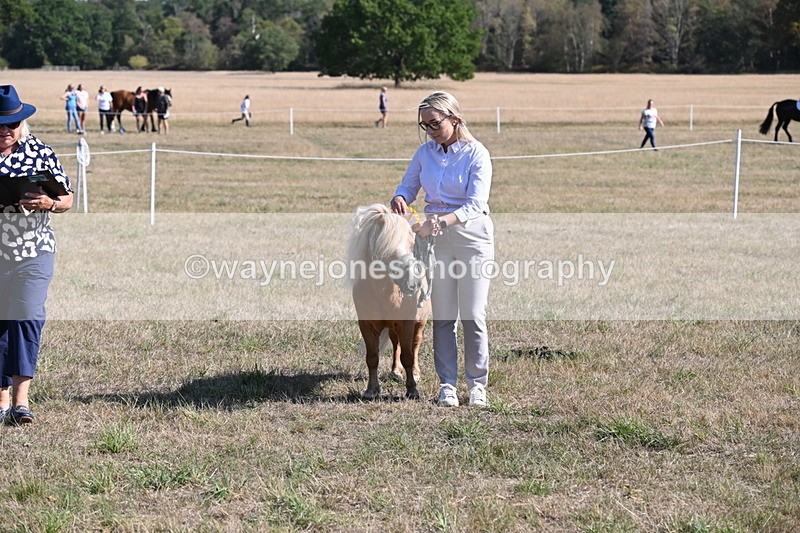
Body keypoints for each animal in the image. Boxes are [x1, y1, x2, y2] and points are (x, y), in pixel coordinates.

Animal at [346, 203, 431, 400]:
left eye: (411, 242)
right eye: (383, 244)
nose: (413, 282)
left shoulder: (407, 323)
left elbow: (408, 356)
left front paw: (412, 389)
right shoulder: (367, 325)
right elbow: (372, 357)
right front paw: (371, 390)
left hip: (419, 323)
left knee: (415, 345)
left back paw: (415, 373)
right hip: (393, 327)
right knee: (395, 344)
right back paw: (395, 371)